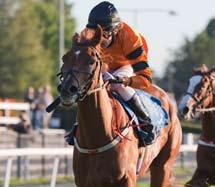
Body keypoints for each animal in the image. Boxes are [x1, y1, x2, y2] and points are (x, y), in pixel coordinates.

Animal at [59, 26, 182, 187]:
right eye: (64, 58)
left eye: (91, 61)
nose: (67, 90)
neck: (96, 139)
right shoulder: (83, 181)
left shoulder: (127, 179)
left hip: (163, 167)